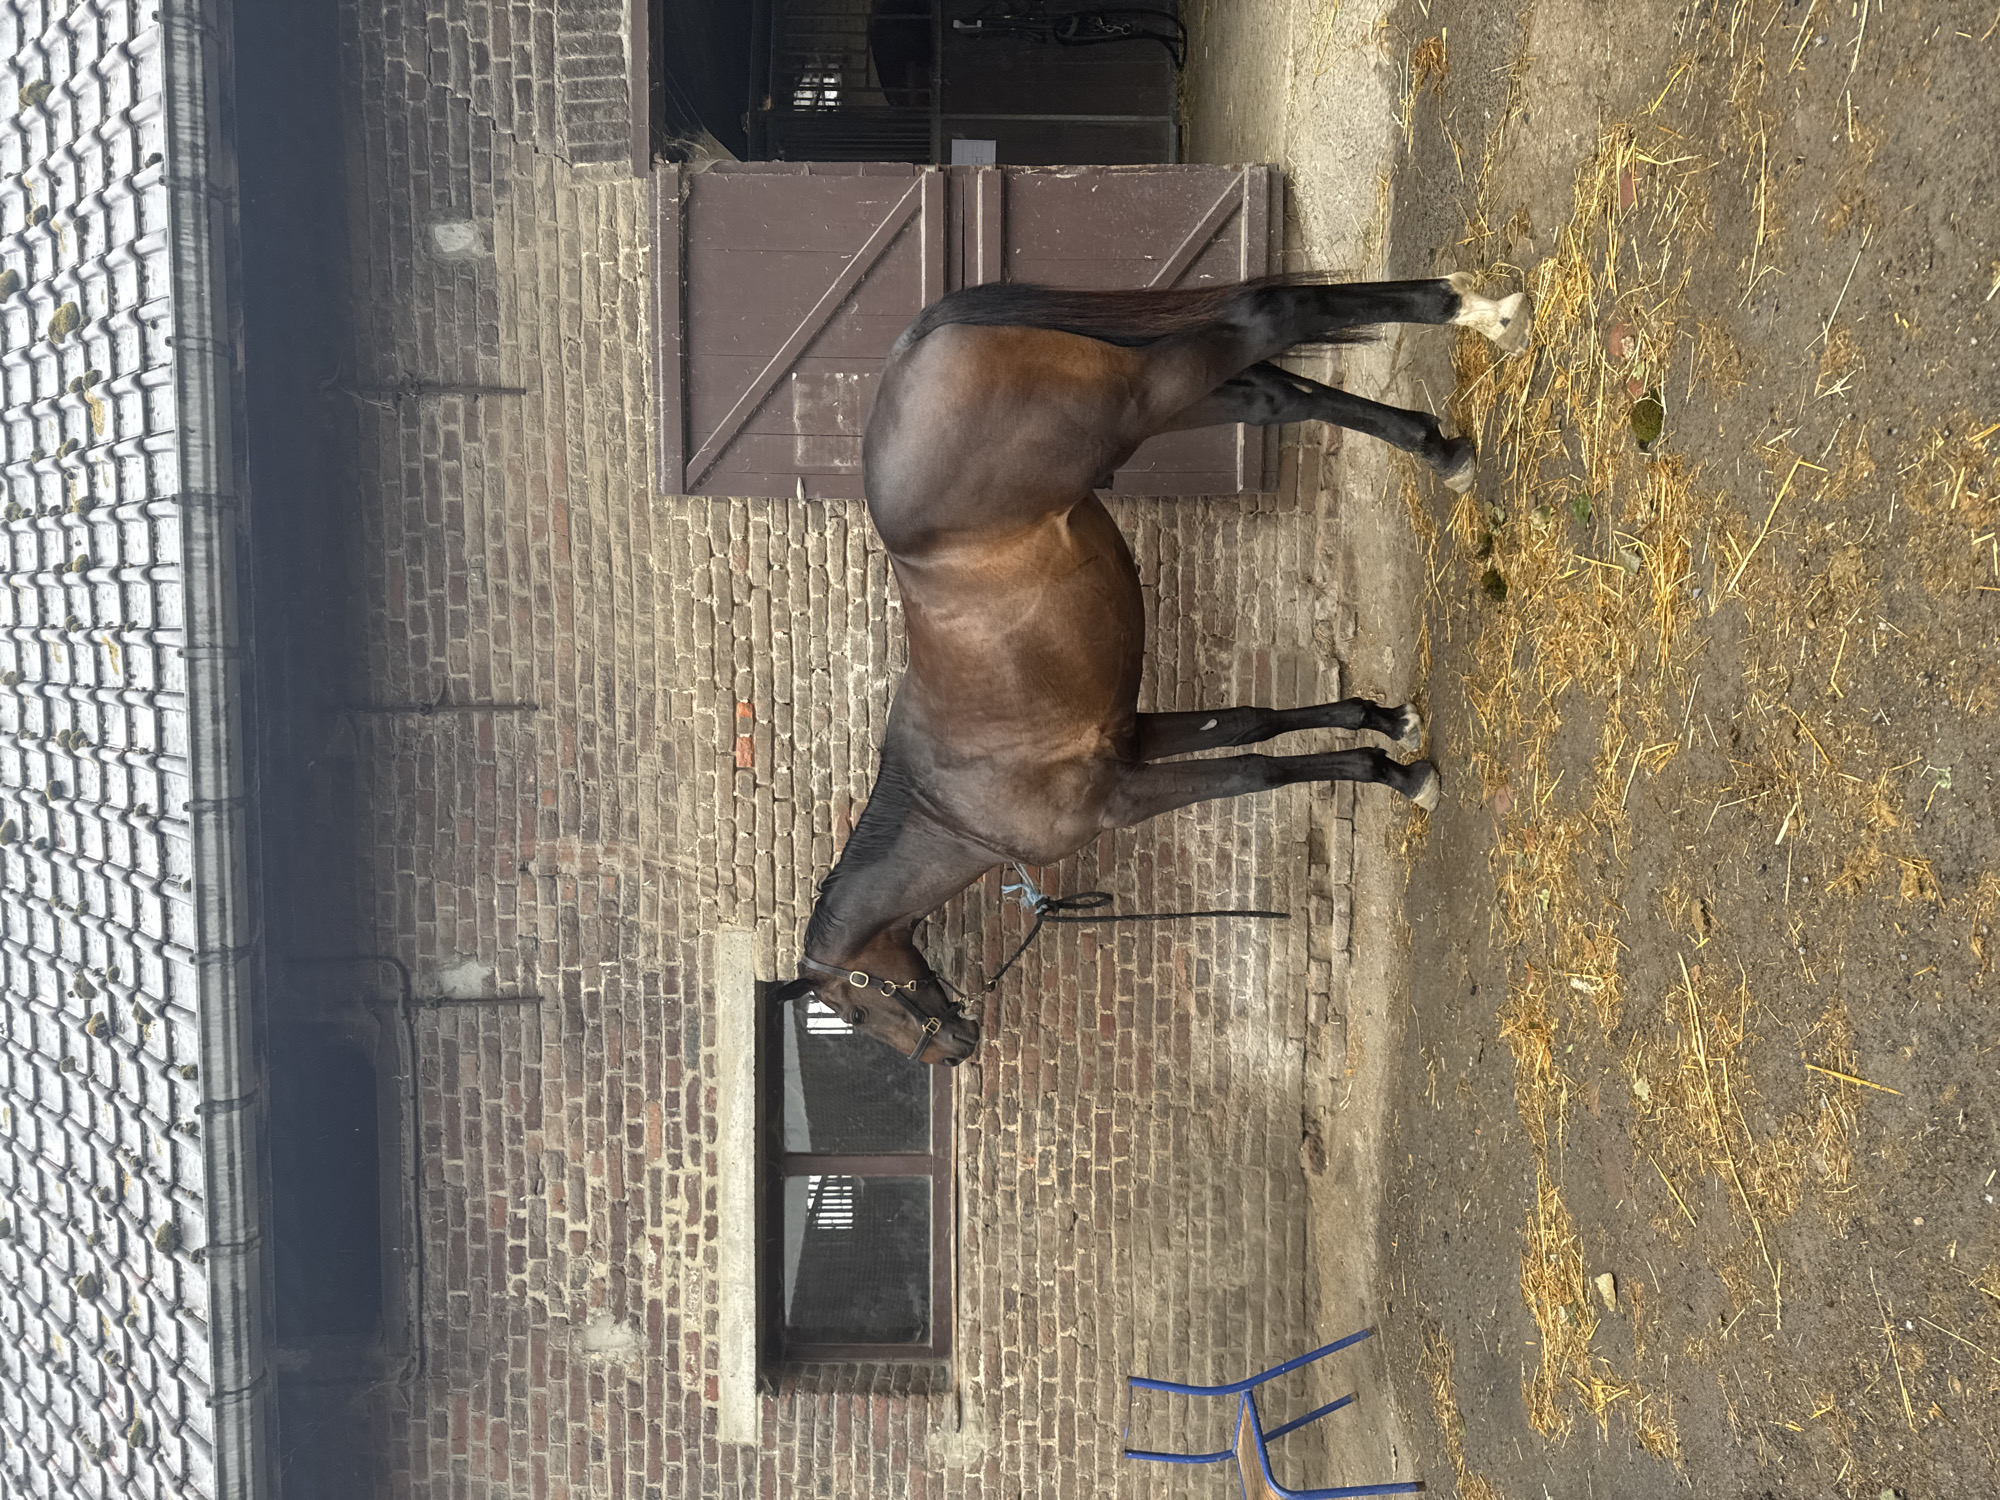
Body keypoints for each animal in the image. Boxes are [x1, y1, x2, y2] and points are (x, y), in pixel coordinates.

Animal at [771, 273, 1532, 1064]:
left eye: (853, 1008)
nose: (953, 1047)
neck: (948, 802)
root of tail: (911, 347)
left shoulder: (1124, 796)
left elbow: (1256, 772)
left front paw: (1404, 778)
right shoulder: (1136, 736)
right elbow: (1252, 723)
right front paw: (1385, 727)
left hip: (1141, 397)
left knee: (1273, 315)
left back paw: (1477, 314)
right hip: (1177, 398)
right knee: (1275, 396)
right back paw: (1443, 442)